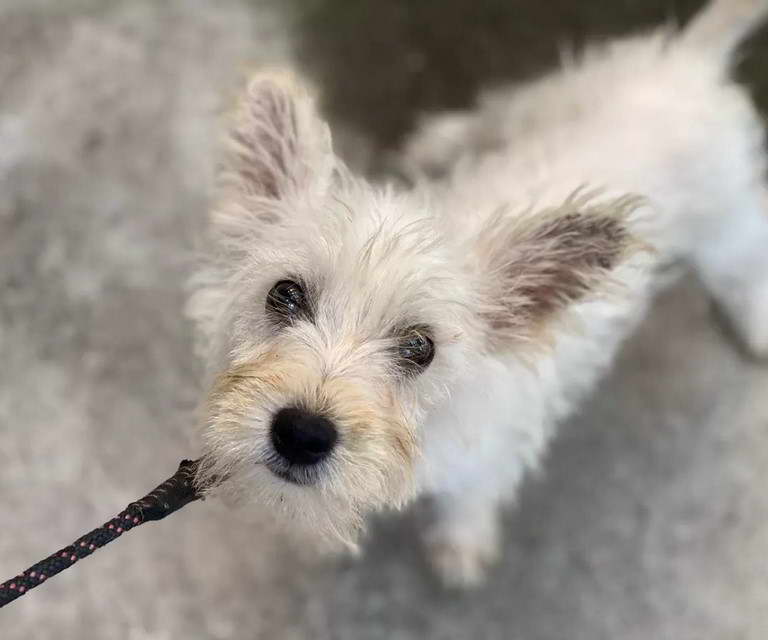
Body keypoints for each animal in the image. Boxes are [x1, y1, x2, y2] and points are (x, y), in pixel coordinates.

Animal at [189, 0, 768, 588]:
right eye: (284, 295)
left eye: (421, 347)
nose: (302, 435)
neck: (429, 433)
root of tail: (689, 63)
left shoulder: (492, 456)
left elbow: (470, 501)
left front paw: (461, 546)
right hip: (556, 95)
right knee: (501, 104)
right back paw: (444, 137)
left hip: (724, 230)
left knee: (747, 255)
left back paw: (756, 323)